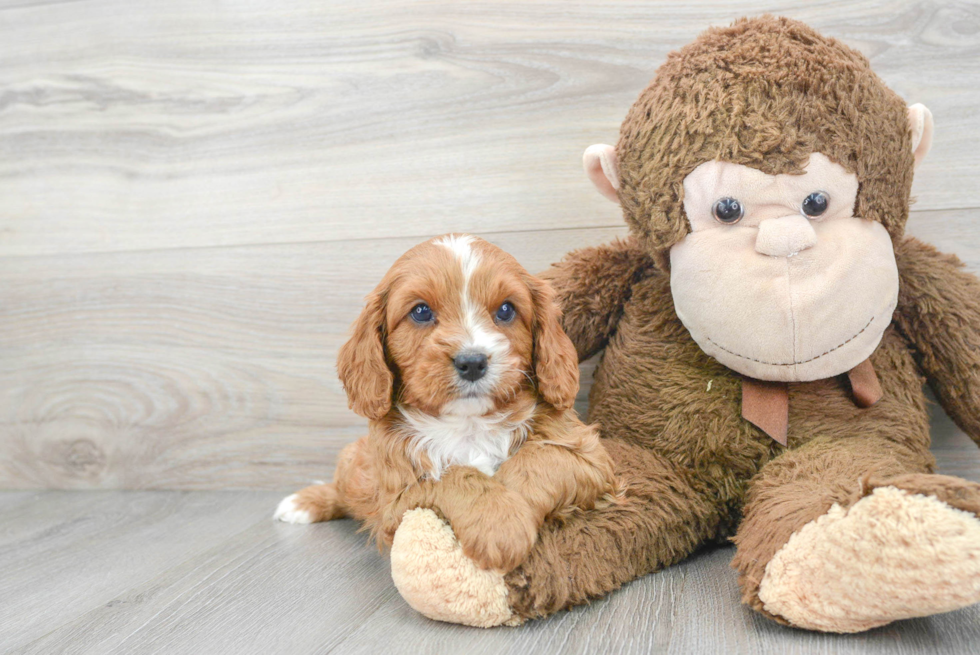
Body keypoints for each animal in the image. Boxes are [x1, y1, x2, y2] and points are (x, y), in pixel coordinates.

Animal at [272, 236, 616, 576]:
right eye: (421, 312)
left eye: (506, 310)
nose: (472, 362)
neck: (468, 425)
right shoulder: (396, 499)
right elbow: (454, 477)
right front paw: (498, 522)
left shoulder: (591, 455)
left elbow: (539, 458)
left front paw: (506, 519)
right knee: (344, 489)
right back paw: (304, 502)